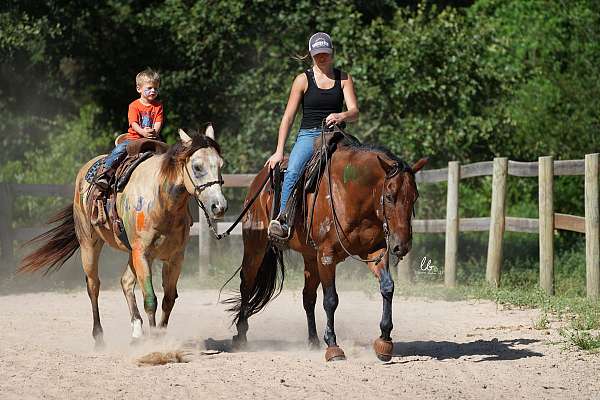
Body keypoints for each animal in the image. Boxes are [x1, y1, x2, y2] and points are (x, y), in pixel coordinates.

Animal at [19, 126, 227, 346]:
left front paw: (160, 336)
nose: (219, 206)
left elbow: (169, 299)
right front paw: (155, 342)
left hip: (130, 253)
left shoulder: (175, 257)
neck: (162, 201)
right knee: (93, 286)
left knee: (125, 282)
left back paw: (136, 331)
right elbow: (150, 299)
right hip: (89, 245)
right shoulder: (142, 254)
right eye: (197, 166)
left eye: (221, 164)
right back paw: (99, 337)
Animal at [226, 135, 426, 362]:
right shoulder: (326, 256)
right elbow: (331, 300)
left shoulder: (375, 252)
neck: (351, 193)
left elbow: (387, 287)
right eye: (390, 196)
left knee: (308, 297)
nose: (402, 245)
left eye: (414, 197)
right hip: (255, 246)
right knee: (247, 284)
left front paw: (384, 340)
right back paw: (241, 336)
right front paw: (332, 345)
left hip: (309, 258)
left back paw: (312, 341)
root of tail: (258, 182)